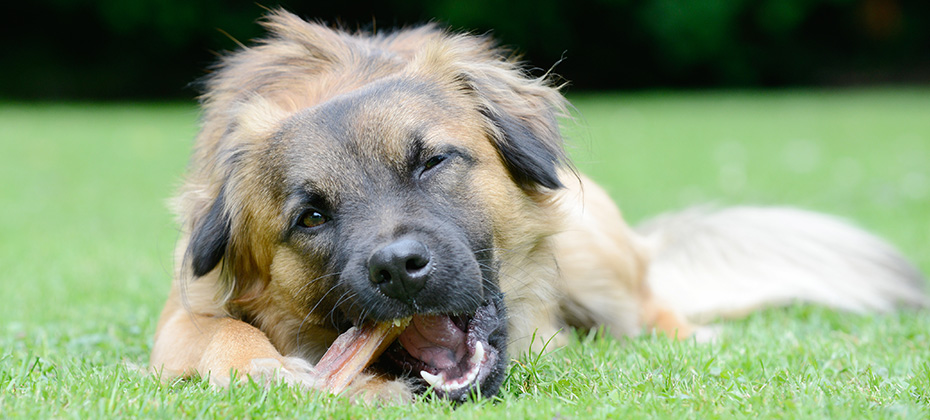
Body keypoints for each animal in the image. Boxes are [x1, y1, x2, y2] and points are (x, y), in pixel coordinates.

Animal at [149, 10, 924, 404]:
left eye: (431, 161)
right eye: (310, 217)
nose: (398, 268)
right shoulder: (181, 313)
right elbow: (217, 333)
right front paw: (261, 366)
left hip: (593, 247)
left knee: (655, 312)